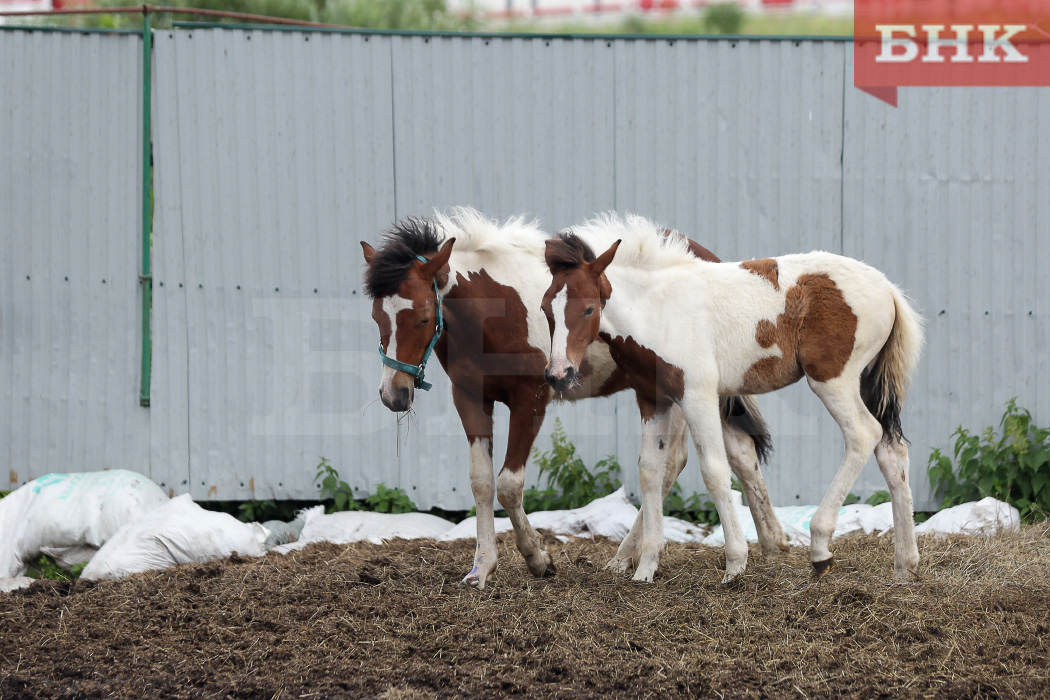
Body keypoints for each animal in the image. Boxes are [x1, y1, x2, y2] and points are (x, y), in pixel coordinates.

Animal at [360, 207, 787, 587]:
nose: (394, 394)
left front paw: (538, 559)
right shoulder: (470, 398)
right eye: (377, 317)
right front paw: (480, 569)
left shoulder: (530, 400)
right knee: (741, 453)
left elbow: (509, 484)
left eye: (422, 317)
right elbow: (481, 482)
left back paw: (628, 557)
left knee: (675, 464)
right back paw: (771, 544)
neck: (494, 309)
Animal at [541, 213, 924, 582]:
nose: (559, 374)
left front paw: (735, 564)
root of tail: (888, 289)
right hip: (865, 380)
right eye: (545, 308)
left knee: (863, 435)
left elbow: (713, 470)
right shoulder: (654, 399)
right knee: (892, 450)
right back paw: (904, 566)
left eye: (589, 309)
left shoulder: (698, 394)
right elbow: (649, 471)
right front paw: (645, 567)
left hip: (833, 380)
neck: (659, 309)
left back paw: (820, 547)